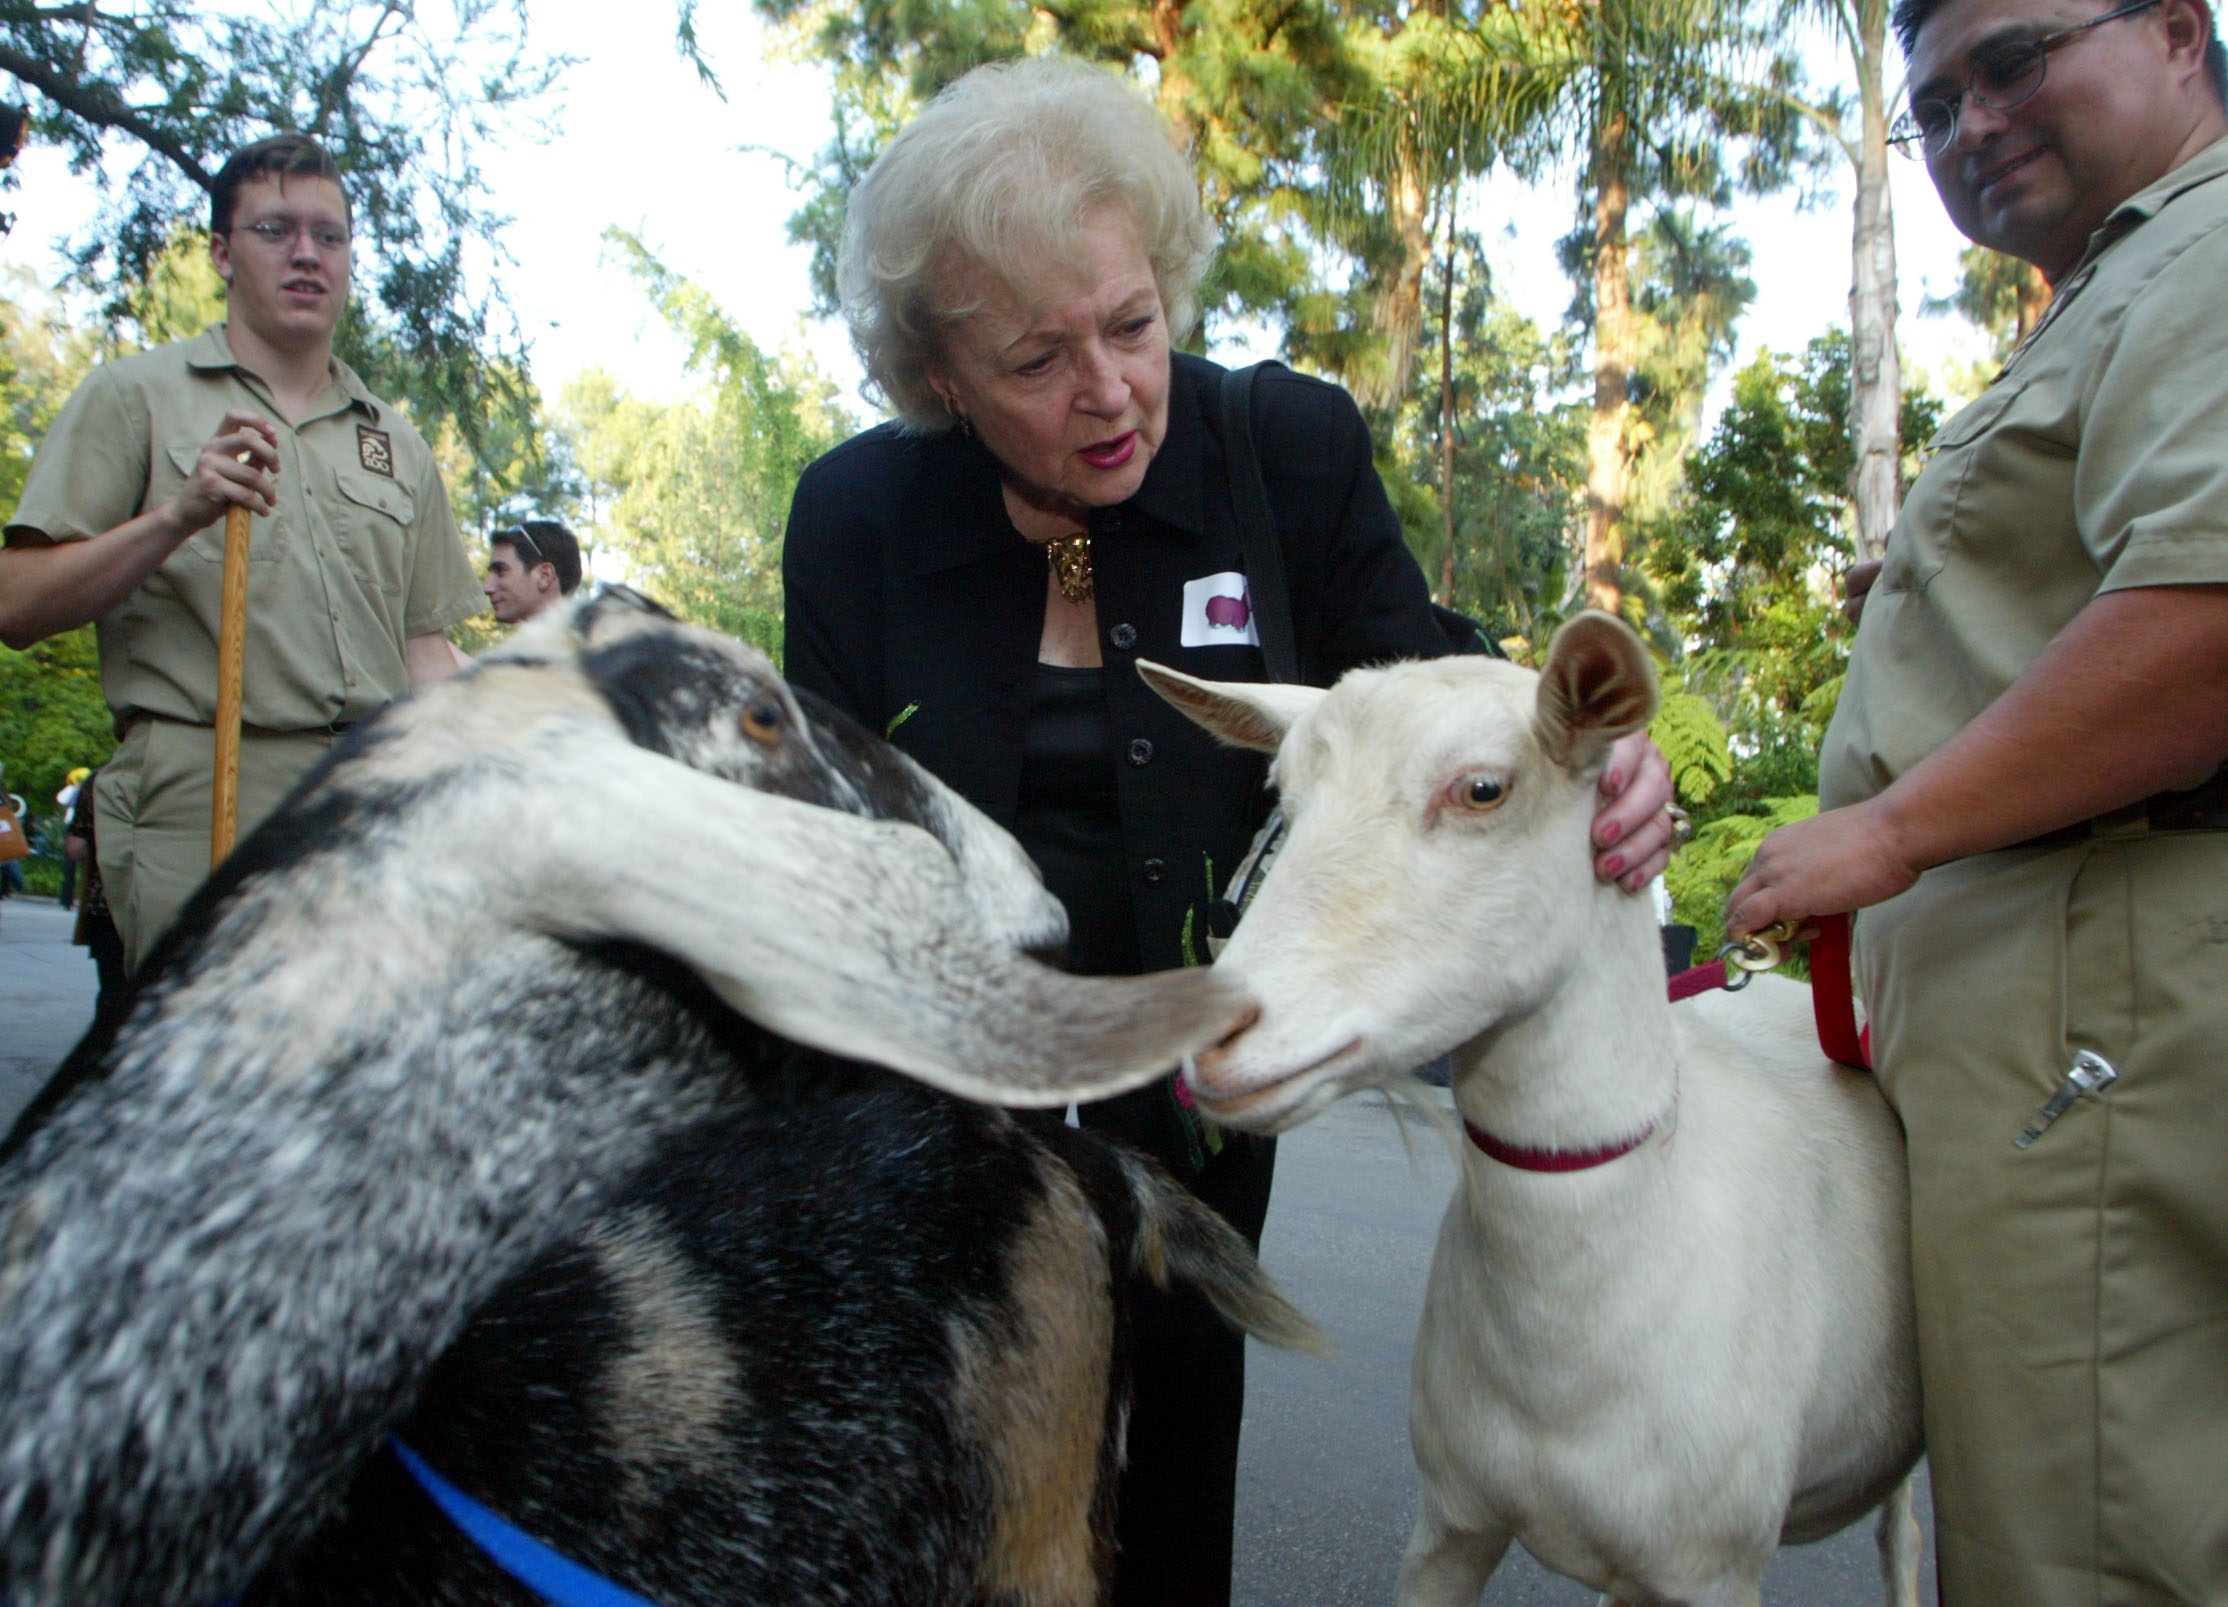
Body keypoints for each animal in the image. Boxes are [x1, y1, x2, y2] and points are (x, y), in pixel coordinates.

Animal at [1140, 615, 1924, 1604]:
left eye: (1483, 788)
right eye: (1284, 792)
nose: (1205, 1029)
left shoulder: (1711, 1565)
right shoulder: (1453, 1520)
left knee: (1904, 1533)